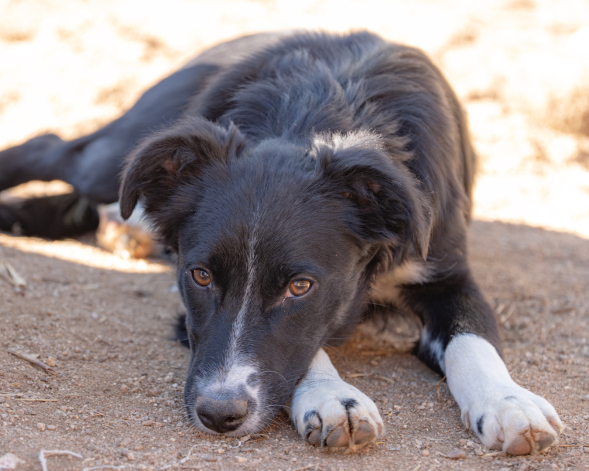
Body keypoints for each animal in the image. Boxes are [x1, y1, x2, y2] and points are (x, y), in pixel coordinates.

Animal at [0, 31, 562, 454]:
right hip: (115, 154)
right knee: (50, 147)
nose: (217, 414)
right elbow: (308, 349)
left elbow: (474, 340)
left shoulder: (446, 271)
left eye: (300, 286)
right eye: (200, 276)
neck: (316, 113)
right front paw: (333, 397)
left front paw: (508, 404)